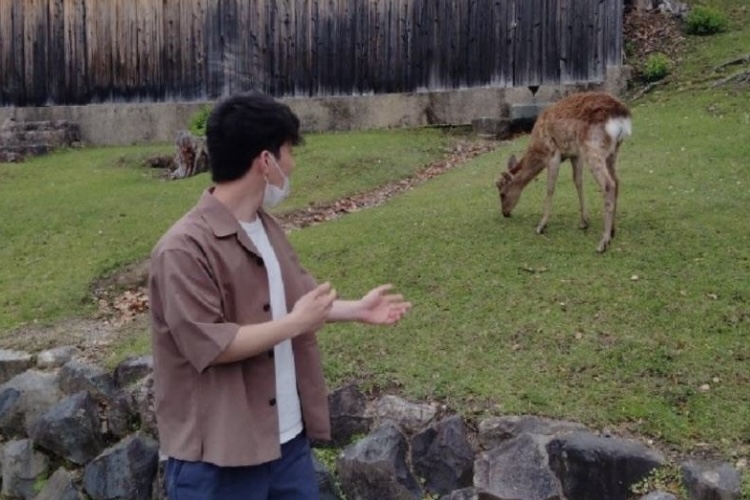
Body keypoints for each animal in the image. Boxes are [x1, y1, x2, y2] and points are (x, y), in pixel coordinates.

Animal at [500, 90, 636, 252]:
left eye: (502, 193)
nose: (505, 213)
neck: (538, 148)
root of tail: (622, 116)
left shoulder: (553, 153)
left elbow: (550, 188)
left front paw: (541, 226)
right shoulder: (575, 154)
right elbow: (578, 181)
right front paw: (584, 222)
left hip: (592, 147)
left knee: (608, 184)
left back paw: (603, 243)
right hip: (613, 150)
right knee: (617, 180)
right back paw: (612, 231)